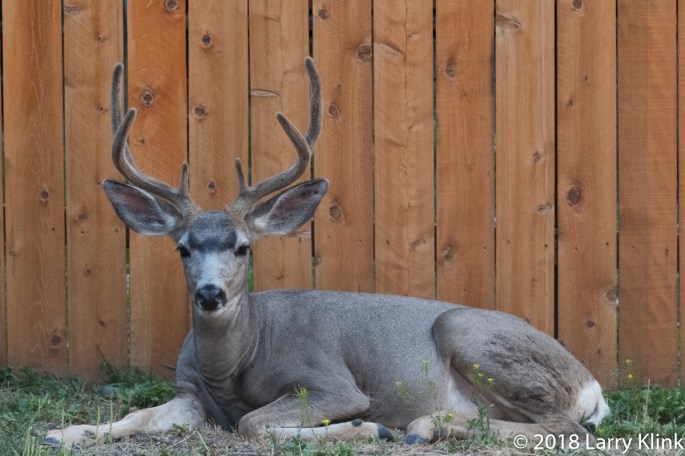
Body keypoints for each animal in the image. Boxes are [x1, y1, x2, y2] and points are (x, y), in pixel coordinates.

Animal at [45, 57, 609, 449]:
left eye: (243, 247)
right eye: (183, 248)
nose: (209, 294)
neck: (239, 360)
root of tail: (592, 387)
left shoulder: (332, 383)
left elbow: (252, 423)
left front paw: (366, 428)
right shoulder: (189, 392)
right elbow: (139, 416)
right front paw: (64, 432)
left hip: (467, 332)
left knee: (569, 429)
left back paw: (420, 424)